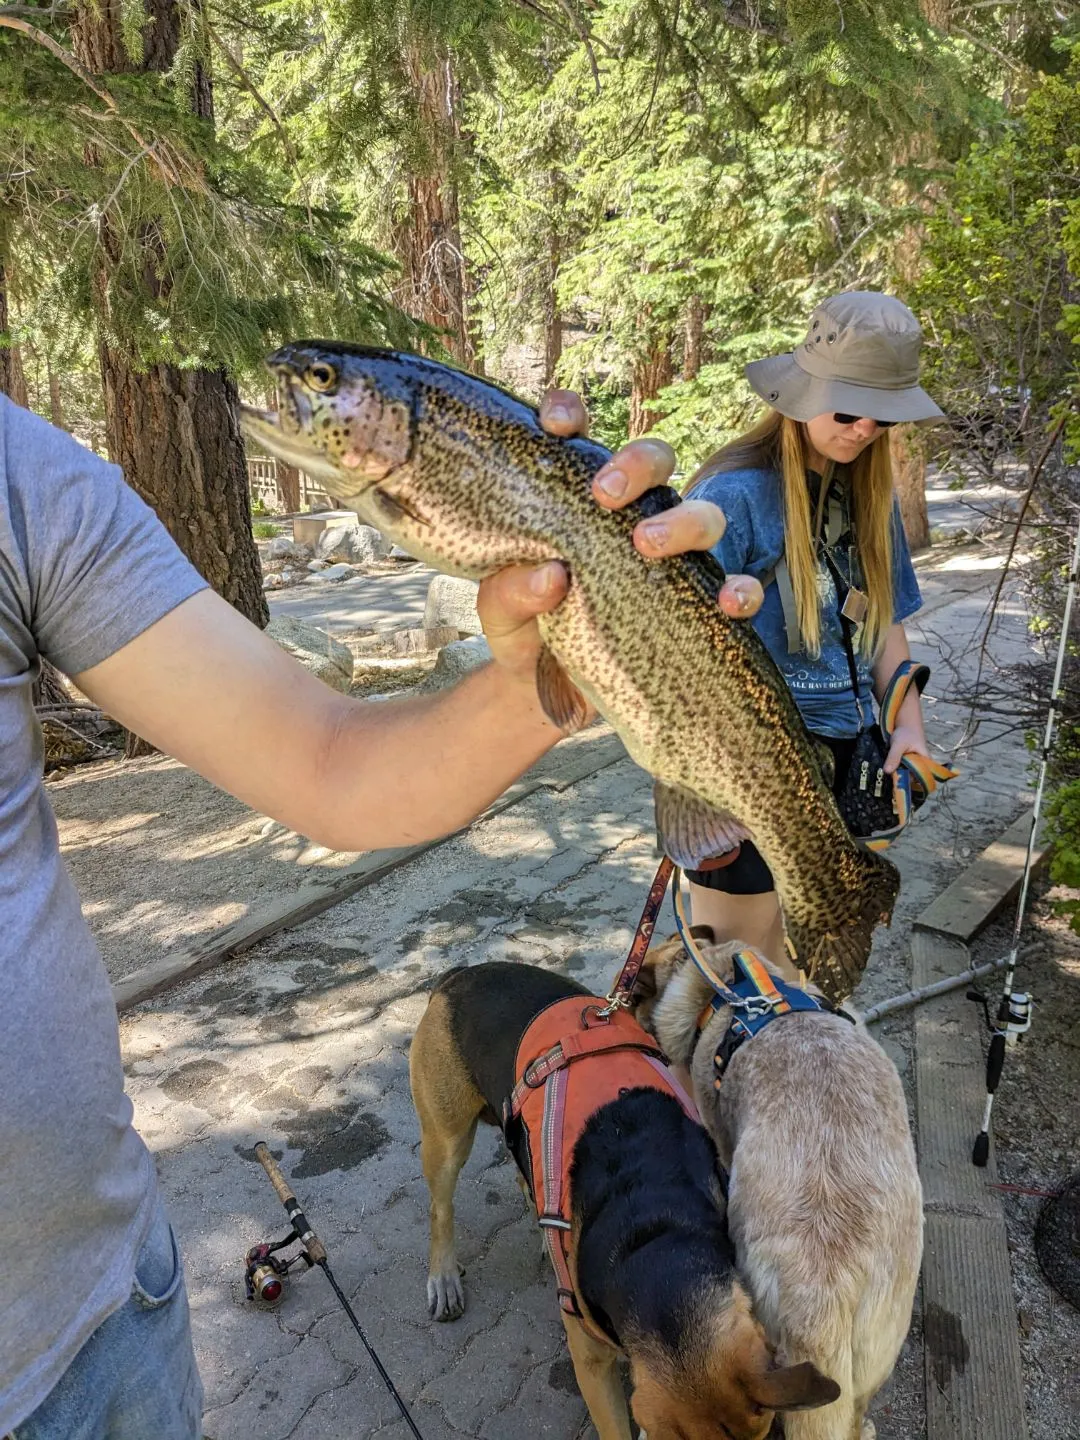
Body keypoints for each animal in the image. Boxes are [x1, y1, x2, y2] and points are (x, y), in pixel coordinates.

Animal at [408, 956, 840, 1440]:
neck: (653, 1234)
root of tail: (461, 974)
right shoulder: (591, 1363)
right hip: (446, 1138)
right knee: (439, 1209)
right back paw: (444, 1277)